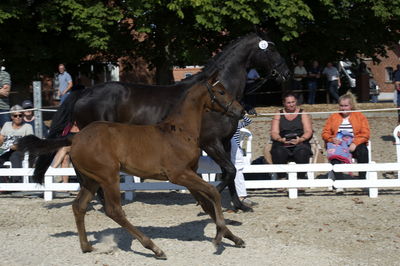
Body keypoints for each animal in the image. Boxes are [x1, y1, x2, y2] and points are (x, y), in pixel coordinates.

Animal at [32, 31, 290, 210]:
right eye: (271, 50)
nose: (286, 73)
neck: (214, 94)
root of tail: (84, 92)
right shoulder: (211, 142)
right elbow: (228, 171)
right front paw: (204, 201)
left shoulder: (225, 142)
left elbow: (232, 171)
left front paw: (239, 205)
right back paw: (105, 204)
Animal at [66, 74, 244, 258]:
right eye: (221, 92)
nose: (241, 111)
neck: (181, 131)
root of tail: (76, 139)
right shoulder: (179, 174)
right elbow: (213, 192)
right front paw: (219, 236)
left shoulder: (190, 174)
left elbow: (205, 203)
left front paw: (234, 238)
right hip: (109, 177)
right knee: (114, 210)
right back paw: (154, 247)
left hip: (92, 179)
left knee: (79, 206)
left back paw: (86, 246)